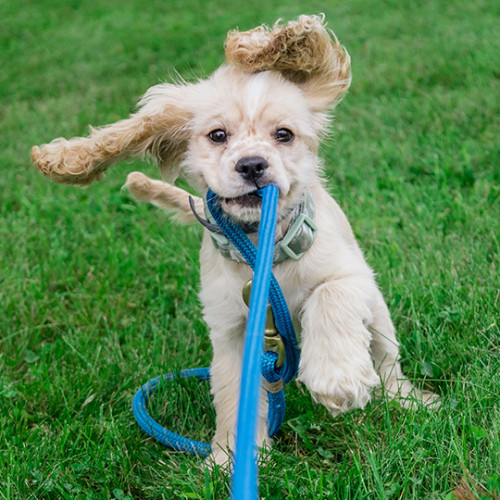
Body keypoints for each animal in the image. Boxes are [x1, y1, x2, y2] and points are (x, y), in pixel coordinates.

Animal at [31, 14, 438, 464]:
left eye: (284, 134)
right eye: (217, 135)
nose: (253, 165)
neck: (262, 247)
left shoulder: (354, 275)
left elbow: (329, 296)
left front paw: (337, 377)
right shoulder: (231, 331)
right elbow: (233, 395)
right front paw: (229, 458)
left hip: (380, 319)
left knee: (387, 365)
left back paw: (409, 400)